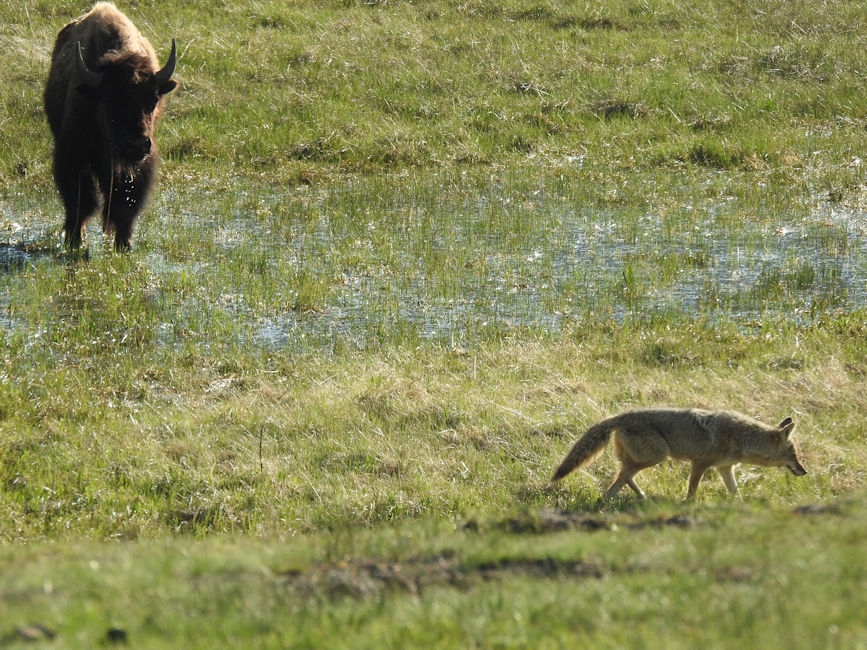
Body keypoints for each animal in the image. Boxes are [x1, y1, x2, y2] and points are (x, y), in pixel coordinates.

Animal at [44, 2, 177, 251]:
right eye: (109, 101)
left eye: (153, 100)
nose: (136, 145)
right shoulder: (73, 155)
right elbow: (81, 201)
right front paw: (75, 241)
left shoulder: (136, 166)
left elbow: (124, 204)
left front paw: (124, 244)